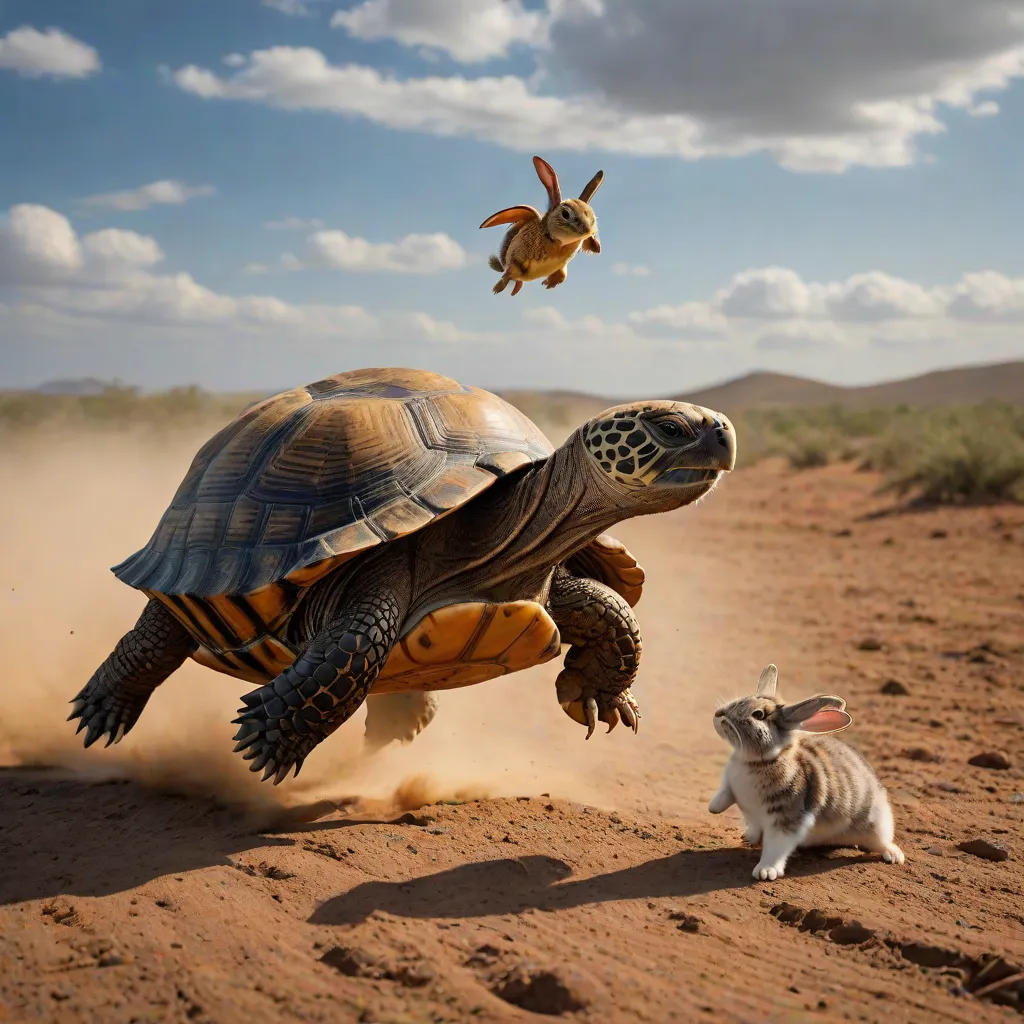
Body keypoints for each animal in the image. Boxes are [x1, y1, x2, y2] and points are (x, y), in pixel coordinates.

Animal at [480, 155, 603, 295]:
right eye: (565, 214)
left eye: (593, 217)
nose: (588, 230)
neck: (560, 244)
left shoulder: (562, 265)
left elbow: (562, 275)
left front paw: (550, 283)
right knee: (509, 273)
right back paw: (500, 287)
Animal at [708, 664, 905, 881]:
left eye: (758, 715)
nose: (718, 714)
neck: (757, 762)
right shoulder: (734, 789)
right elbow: (725, 795)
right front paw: (713, 808)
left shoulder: (788, 819)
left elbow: (776, 848)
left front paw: (765, 872)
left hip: (876, 827)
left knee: (881, 842)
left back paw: (894, 856)